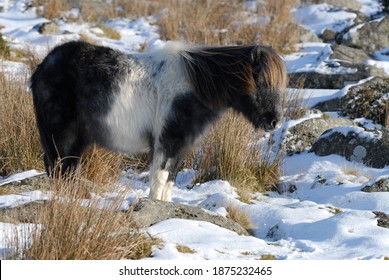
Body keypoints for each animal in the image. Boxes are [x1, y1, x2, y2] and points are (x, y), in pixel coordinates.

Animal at [31, 40, 284, 201]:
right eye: (261, 82)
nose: (275, 122)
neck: (193, 87)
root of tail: (44, 66)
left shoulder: (179, 148)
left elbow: (169, 183)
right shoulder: (166, 142)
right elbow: (159, 181)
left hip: (77, 140)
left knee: (68, 169)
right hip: (60, 137)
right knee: (58, 168)